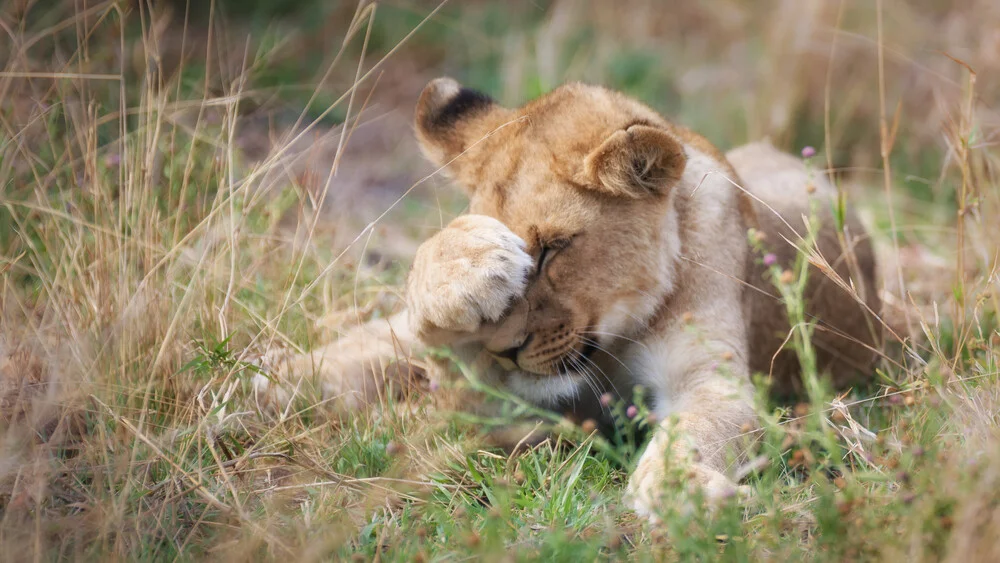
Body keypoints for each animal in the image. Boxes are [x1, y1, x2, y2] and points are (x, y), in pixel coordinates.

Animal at [254, 77, 880, 524]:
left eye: (554, 247)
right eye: (525, 252)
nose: (505, 350)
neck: (615, 340)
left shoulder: (711, 375)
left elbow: (702, 429)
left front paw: (679, 489)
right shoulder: (486, 391)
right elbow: (425, 303)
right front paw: (469, 264)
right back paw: (264, 381)